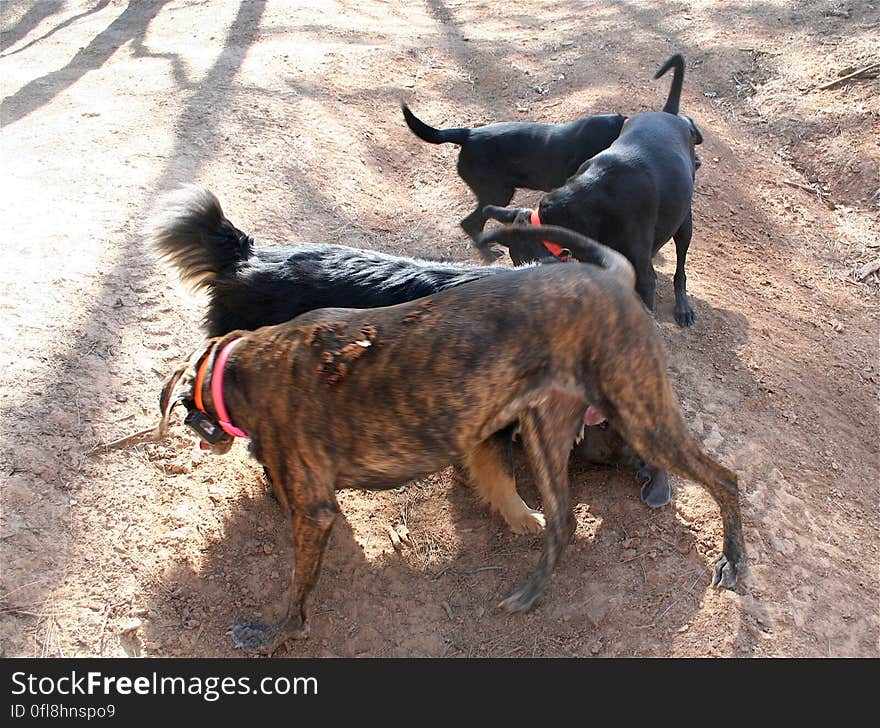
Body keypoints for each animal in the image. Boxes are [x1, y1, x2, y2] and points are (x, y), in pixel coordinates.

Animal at [138, 228, 744, 656]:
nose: (195, 429)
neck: (249, 364)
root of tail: (611, 278)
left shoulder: (314, 512)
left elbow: (294, 594)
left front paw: (272, 636)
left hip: (641, 420)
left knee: (727, 477)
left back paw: (734, 561)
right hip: (548, 432)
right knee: (565, 521)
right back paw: (529, 594)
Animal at [478, 55, 704, 328]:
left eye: (521, 261)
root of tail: (668, 114)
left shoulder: (642, 274)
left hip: (684, 224)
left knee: (680, 269)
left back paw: (683, 306)